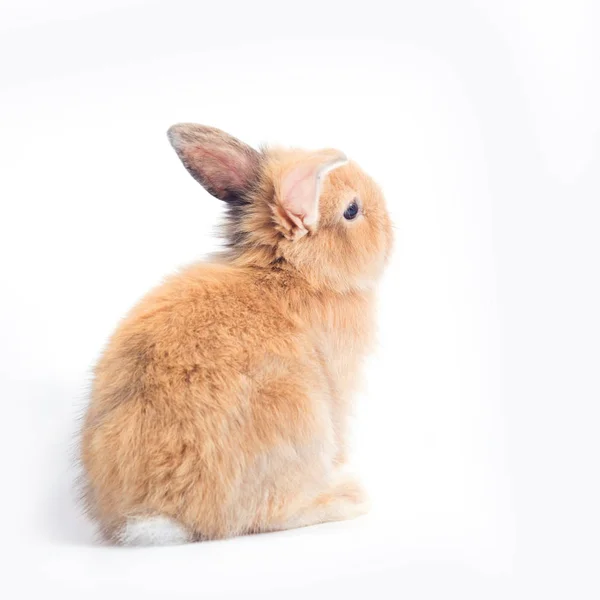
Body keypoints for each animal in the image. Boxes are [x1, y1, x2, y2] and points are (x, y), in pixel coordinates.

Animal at [78, 124, 394, 548]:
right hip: (299, 415)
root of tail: (164, 517)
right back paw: (346, 498)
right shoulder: (338, 390)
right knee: (268, 515)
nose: (391, 229)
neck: (290, 273)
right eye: (352, 211)